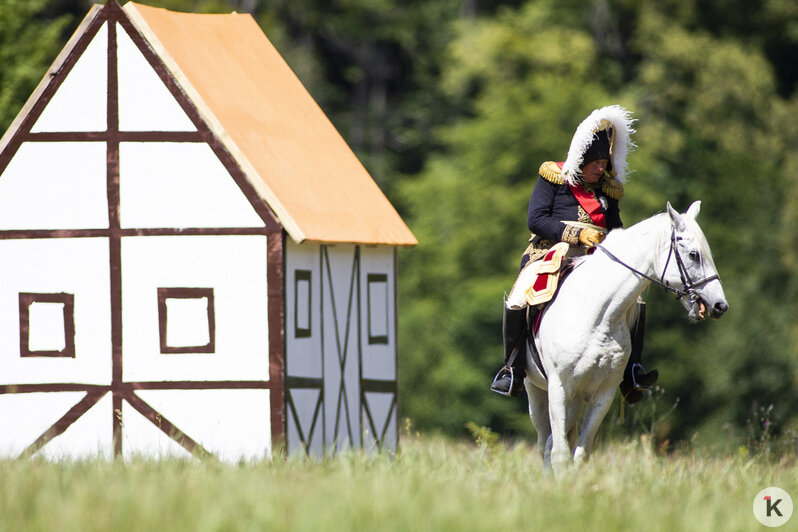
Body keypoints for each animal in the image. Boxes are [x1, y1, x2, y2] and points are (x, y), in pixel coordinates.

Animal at [524, 202, 732, 472]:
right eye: (694, 254)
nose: (720, 306)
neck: (596, 314)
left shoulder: (603, 393)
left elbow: (580, 453)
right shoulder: (559, 388)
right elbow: (559, 452)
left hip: (576, 398)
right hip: (538, 391)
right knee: (545, 444)